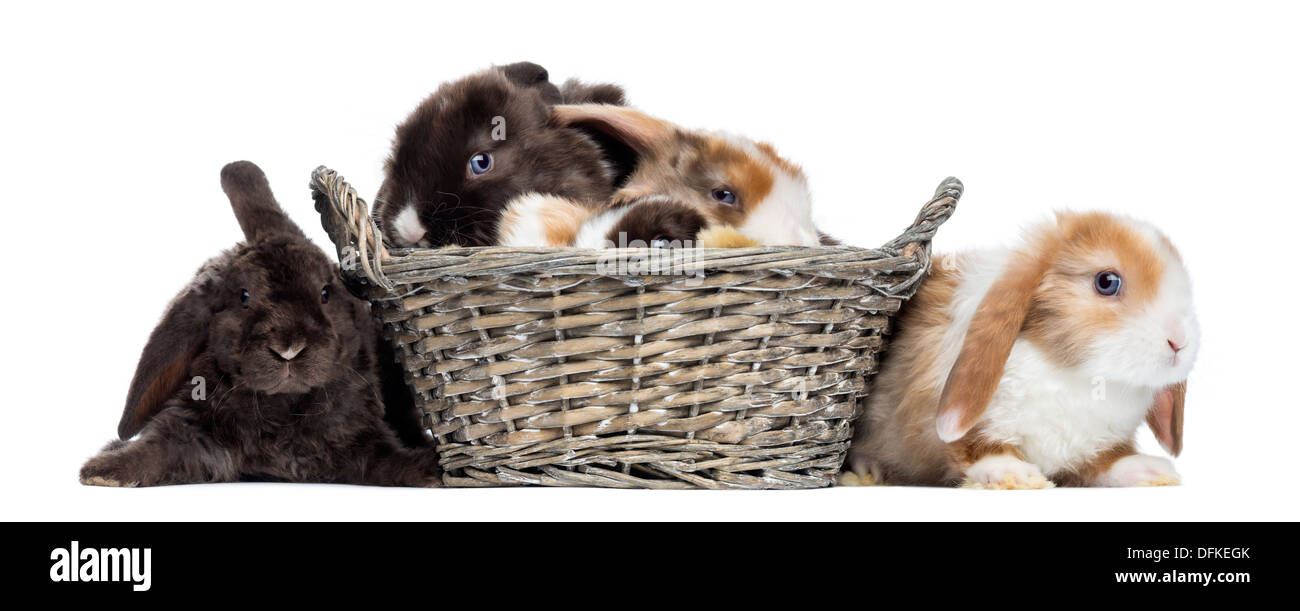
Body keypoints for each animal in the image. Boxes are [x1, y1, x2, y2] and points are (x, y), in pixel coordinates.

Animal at [79, 161, 442, 488]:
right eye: (243, 296)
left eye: (325, 292)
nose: (289, 349)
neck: (284, 403)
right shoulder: (195, 434)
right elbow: (157, 449)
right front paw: (102, 469)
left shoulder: (364, 442)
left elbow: (390, 463)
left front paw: (430, 469)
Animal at [840, 211, 1199, 489]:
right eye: (1107, 282)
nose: (1179, 342)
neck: (1072, 373)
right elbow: (974, 446)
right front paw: (1015, 474)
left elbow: (1105, 463)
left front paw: (1154, 470)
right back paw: (868, 472)